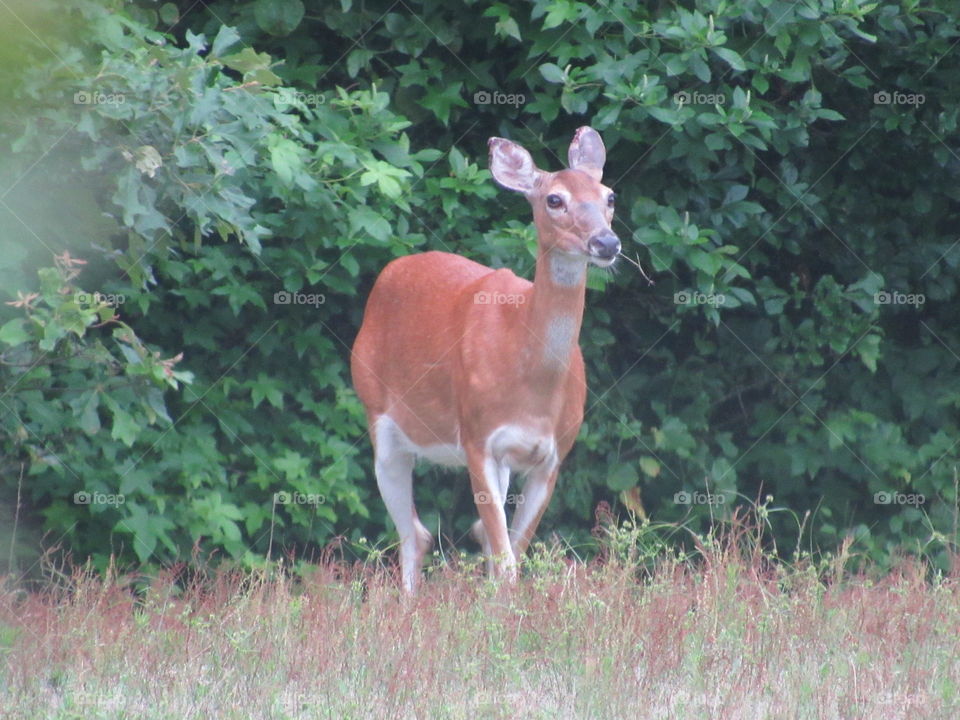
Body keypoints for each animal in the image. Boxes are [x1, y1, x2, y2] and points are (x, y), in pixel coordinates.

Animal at [350, 127, 620, 594]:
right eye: (554, 199)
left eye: (609, 196)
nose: (606, 242)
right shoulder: (477, 438)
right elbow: (505, 558)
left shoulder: (553, 454)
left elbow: (511, 552)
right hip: (378, 417)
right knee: (413, 535)